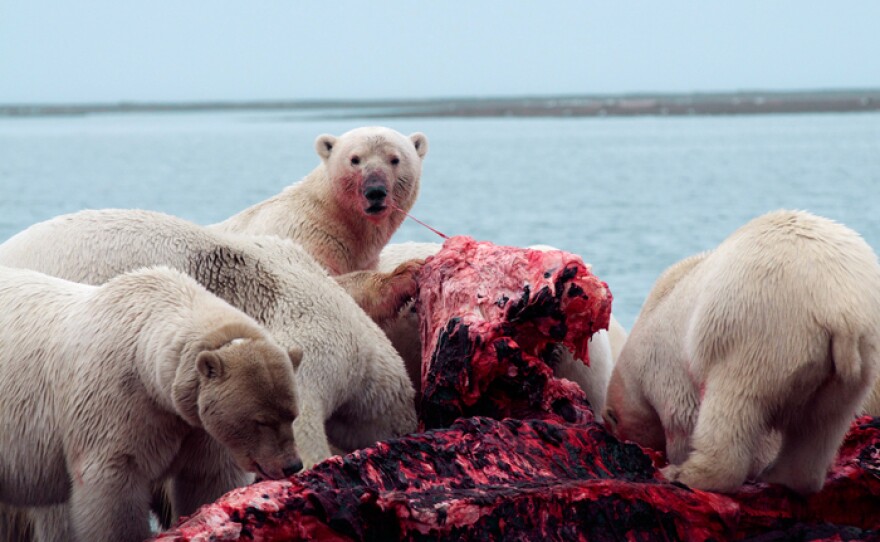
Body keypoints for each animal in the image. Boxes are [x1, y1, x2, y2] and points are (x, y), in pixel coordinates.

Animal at [604, 211, 880, 498]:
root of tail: (842, 313)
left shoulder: (664, 367)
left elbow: (684, 416)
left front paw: (677, 460)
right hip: (856, 363)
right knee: (823, 424)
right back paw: (782, 476)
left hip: (757, 336)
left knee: (734, 405)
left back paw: (688, 475)